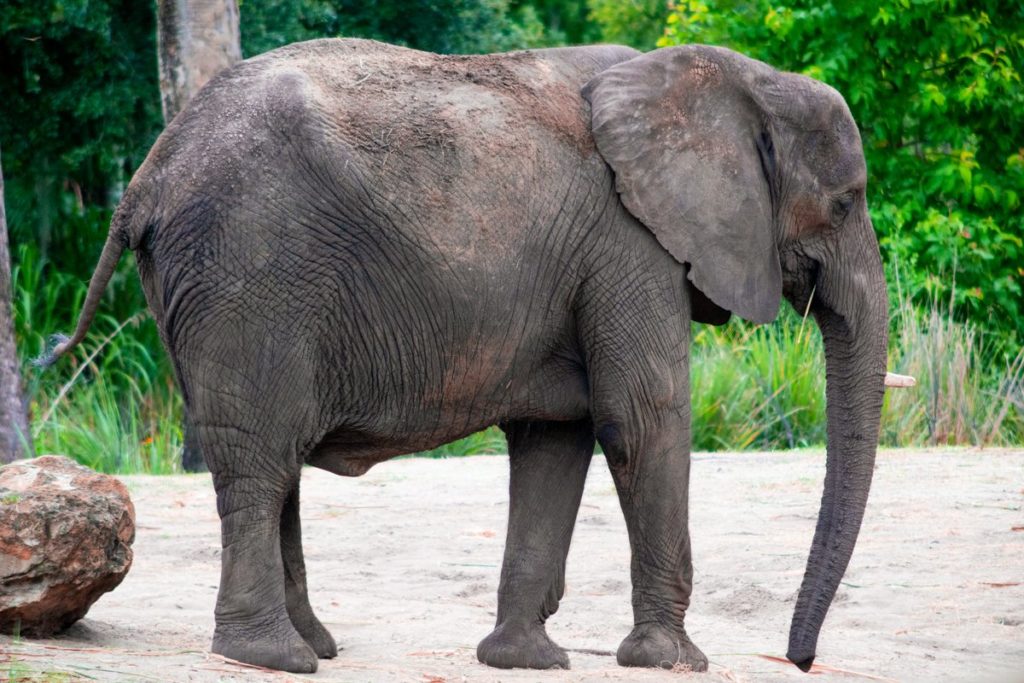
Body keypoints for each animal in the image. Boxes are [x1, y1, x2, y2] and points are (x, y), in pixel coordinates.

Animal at [46, 40, 897, 675]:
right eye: (845, 202)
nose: (799, 660)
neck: (736, 80)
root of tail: (146, 176)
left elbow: (556, 439)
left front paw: (524, 658)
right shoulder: (630, 244)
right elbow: (642, 419)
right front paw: (676, 660)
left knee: (272, 458)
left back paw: (313, 645)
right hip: (248, 270)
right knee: (258, 456)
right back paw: (273, 656)